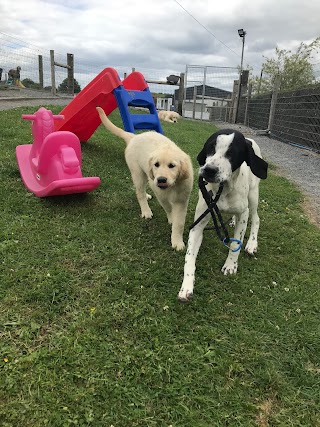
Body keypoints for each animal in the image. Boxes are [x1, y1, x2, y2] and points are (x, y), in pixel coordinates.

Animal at [96, 106, 194, 251]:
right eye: (156, 164)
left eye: (172, 166)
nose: (161, 180)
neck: (172, 186)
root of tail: (134, 137)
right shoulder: (161, 195)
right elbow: (168, 207)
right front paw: (171, 218)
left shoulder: (182, 200)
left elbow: (180, 222)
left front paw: (177, 241)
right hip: (138, 173)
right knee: (139, 192)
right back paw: (146, 210)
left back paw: (147, 196)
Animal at [178, 129, 268, 302]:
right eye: (210, 148)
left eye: (232, 153)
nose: (209, 170)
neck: (224, 189)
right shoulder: (198, 225)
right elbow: (189, 257)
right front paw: (187, 284)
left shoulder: (243, 214)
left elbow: (235, 244)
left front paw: (231, 265)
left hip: (253, 196)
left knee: (256, 219)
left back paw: (252, 244)